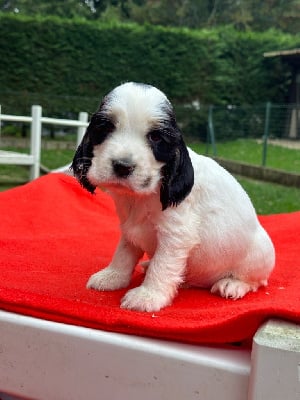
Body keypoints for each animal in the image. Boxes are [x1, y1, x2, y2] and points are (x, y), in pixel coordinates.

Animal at [71, 82, 276, 312]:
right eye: (105, 128)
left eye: (155, 137)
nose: (123, 166)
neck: (141, 197)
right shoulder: (129, 227)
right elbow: (124, 253)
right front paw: (112, 277)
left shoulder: (176, 235)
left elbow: (162, 264)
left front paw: (148, 296)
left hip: (258, 256)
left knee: (256, 281)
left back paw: (233, 284)